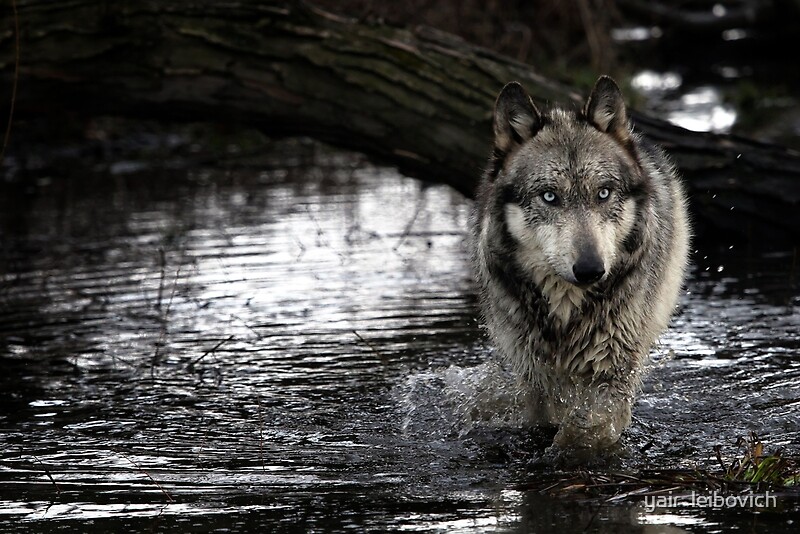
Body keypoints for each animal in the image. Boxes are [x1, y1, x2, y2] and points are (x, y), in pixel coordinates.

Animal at [472, 77, 692, 458]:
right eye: (549, 197)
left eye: (603, 193)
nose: (591, 269)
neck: (565, 311)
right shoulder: (536, 374)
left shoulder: (612, 368)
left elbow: (592, 427)